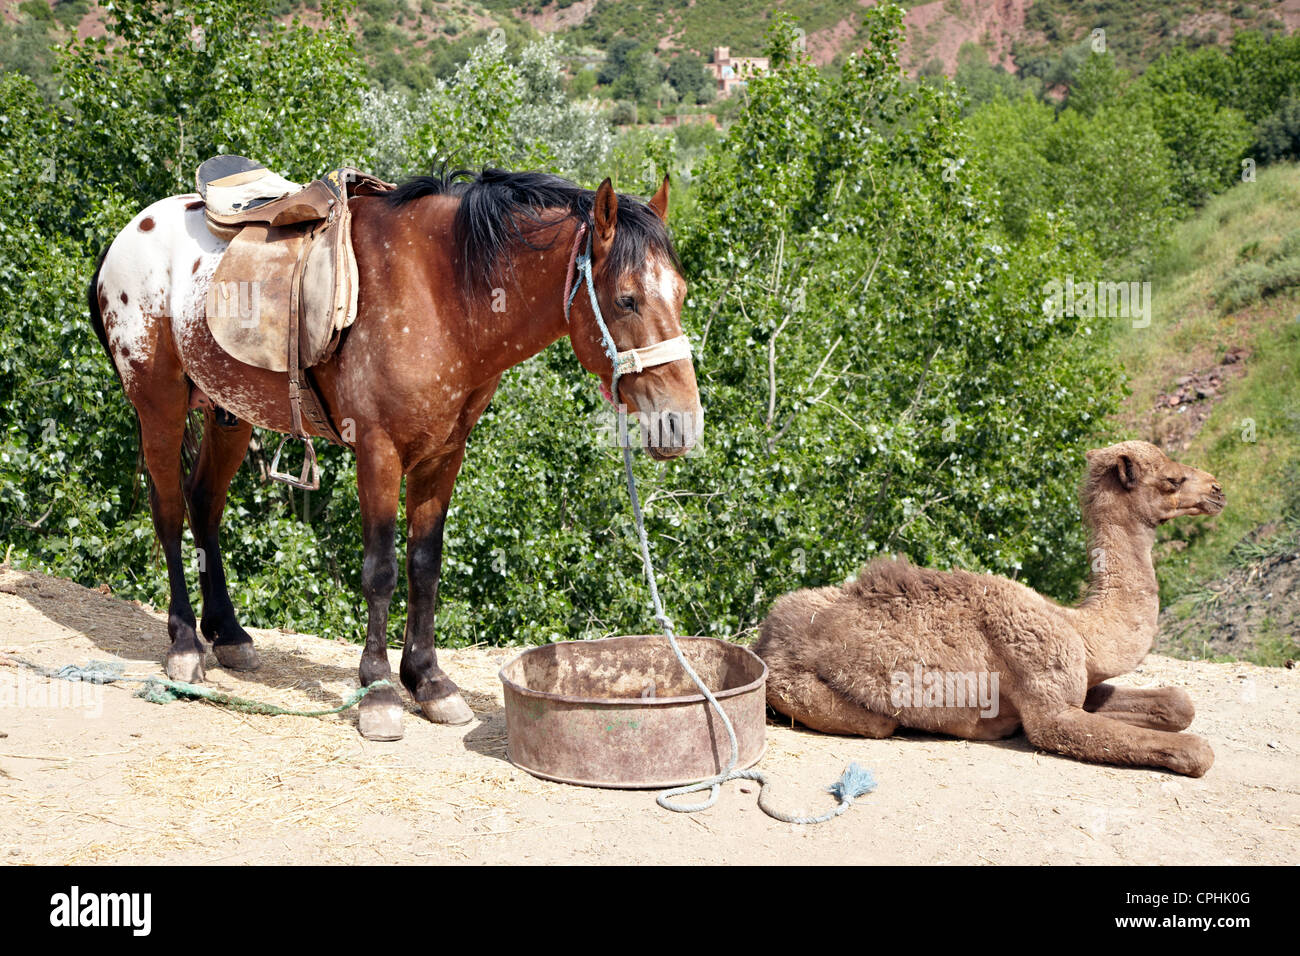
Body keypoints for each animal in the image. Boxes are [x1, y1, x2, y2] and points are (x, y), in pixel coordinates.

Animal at [86, 170, 702, 738]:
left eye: (680, 294)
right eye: (626, 299)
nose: (682, 423)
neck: (442, 292)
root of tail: (129, 233)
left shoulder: (443, 456)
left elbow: (424, 566)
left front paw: (428, 681)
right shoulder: (378, 452)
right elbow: (380, 570)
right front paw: (379, 690)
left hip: (228, 412)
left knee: (204, 506)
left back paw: (228, 633)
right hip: (159, 406)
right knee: (169, 512)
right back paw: (185, 643)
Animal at [759, 442, 1222, 780]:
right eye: (1172, 479)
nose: (1217, 490)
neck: (1081, 630)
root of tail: (766, 639)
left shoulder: (1080, 683)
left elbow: (1179, 703)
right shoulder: (1048, 702)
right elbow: (1197, 749)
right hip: (796, 688)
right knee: (879, 724)